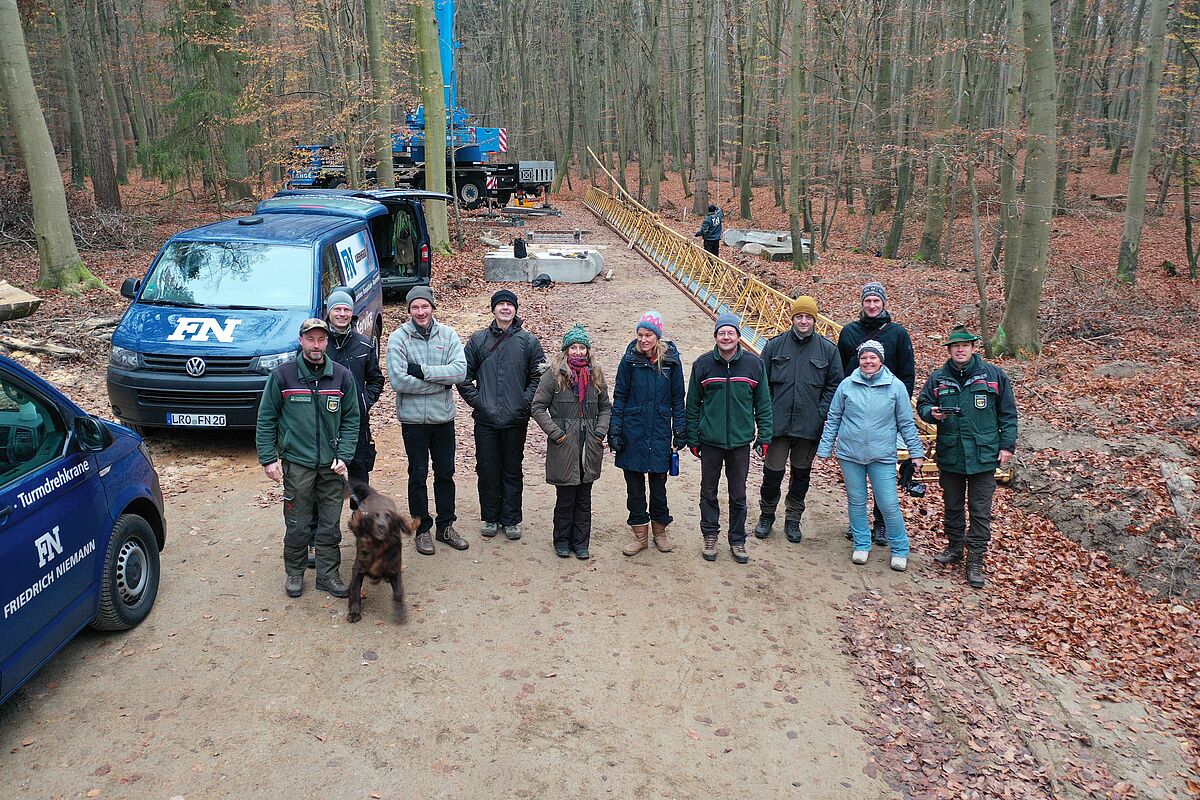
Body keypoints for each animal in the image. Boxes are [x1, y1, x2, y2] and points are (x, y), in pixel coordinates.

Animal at [345, 482, 415, 623]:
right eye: (374, 516)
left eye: (388, 516)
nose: (381, 526)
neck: (378, 546)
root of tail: (375, 494)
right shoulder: (358, 569)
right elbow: (355, 592)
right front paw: (354, 613)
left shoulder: (395, 568)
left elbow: (398, 592)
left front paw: (399, 611)